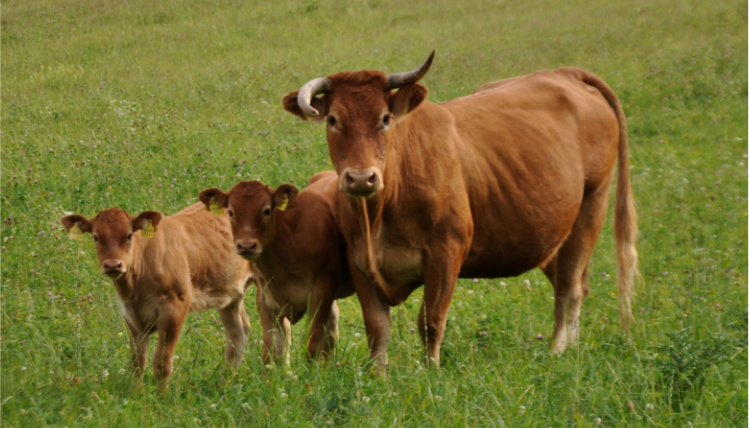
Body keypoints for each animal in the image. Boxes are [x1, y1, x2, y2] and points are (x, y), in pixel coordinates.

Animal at [59, 203, 258, 384]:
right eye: (96, 237)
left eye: (129, 235)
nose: (113, 265)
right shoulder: (130, 313)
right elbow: (137, 361)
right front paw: (137, 394)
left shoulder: (174, 308)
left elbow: (162, 363)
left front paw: (161, 398)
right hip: (230, 294)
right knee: (238, 331)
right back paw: (226, 382)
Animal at [197, 169, 352, 362]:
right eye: (231, 212)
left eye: (267, 210)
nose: (246, 245)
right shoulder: (266, 296)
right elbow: (274, 348)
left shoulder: (321, 292)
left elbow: (313, 343)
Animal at [282, 49, 636, 372]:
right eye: (333, 120)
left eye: (384, 118)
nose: (360, 177)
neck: (380, 213)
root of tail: (566, 73)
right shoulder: (360, 261)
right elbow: (377, 329)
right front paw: (378, 380)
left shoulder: (446, 253)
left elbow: (431, 321)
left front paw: (430, 375)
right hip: (550, 232)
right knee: (574, 283)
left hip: (592, 206)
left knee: (569, 290)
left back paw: (559, 351)